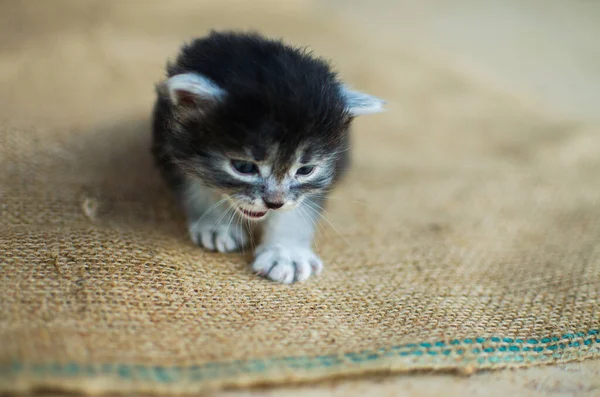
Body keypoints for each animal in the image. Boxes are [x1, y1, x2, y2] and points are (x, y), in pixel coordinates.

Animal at [150, 32, 384, 284]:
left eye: (305, 170)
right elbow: (195, 185)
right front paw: (214, 223)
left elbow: (300, 206)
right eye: (243, 167)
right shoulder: (170, 142)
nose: (274, 203)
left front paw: (286, 253)